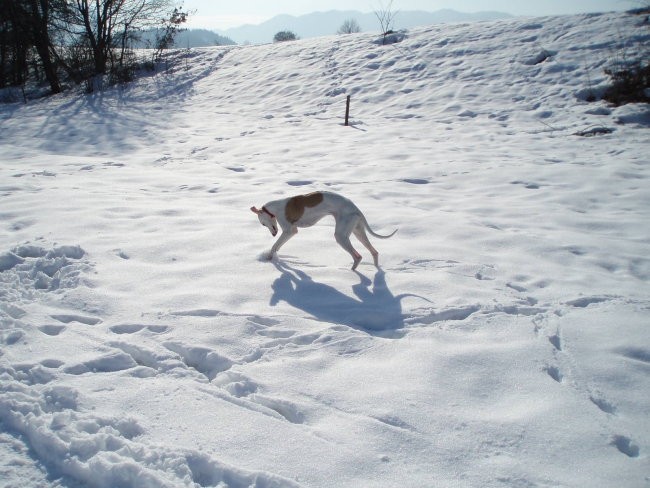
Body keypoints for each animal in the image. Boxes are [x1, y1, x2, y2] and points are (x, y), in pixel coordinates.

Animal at [252, 190, 394, 268]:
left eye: (263, 224)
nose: (273, 234)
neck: (274, 208)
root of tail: (356, 209)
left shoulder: (290, 231)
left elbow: (275, 245)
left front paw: (270, 258)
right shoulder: (289, 231)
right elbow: (278, 246)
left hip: (341, 236)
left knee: (358, 256)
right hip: (357, 231)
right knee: (374, 252)